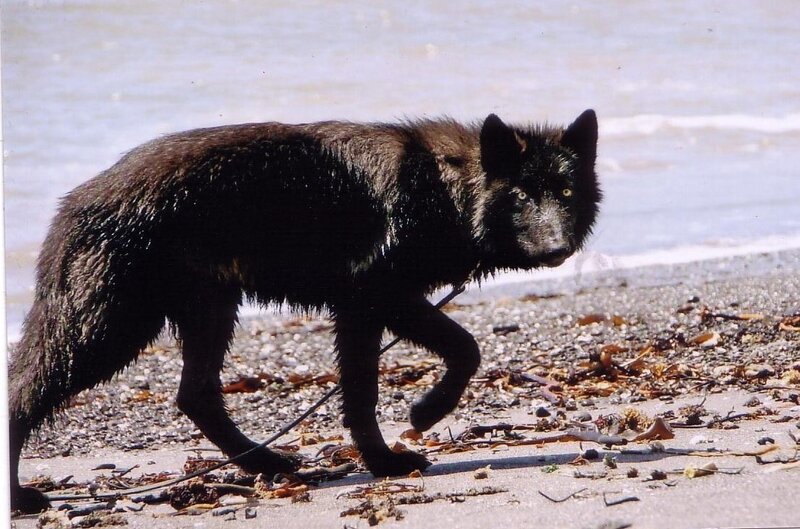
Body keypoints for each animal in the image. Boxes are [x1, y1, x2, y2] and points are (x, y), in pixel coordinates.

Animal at [9, 109, 600, 512]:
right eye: (520, 196)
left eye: (566, 192)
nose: (557, 250)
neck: (444, 187)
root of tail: (75, 202)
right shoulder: (374, 301)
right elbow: (451, 354)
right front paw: (418, 423)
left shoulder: (370, 311)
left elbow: (390, 383)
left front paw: (388, 453)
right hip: (109, 331)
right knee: (23, 389)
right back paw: (18, 498)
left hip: (208, 315)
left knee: (196, 397)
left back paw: (266, 464)